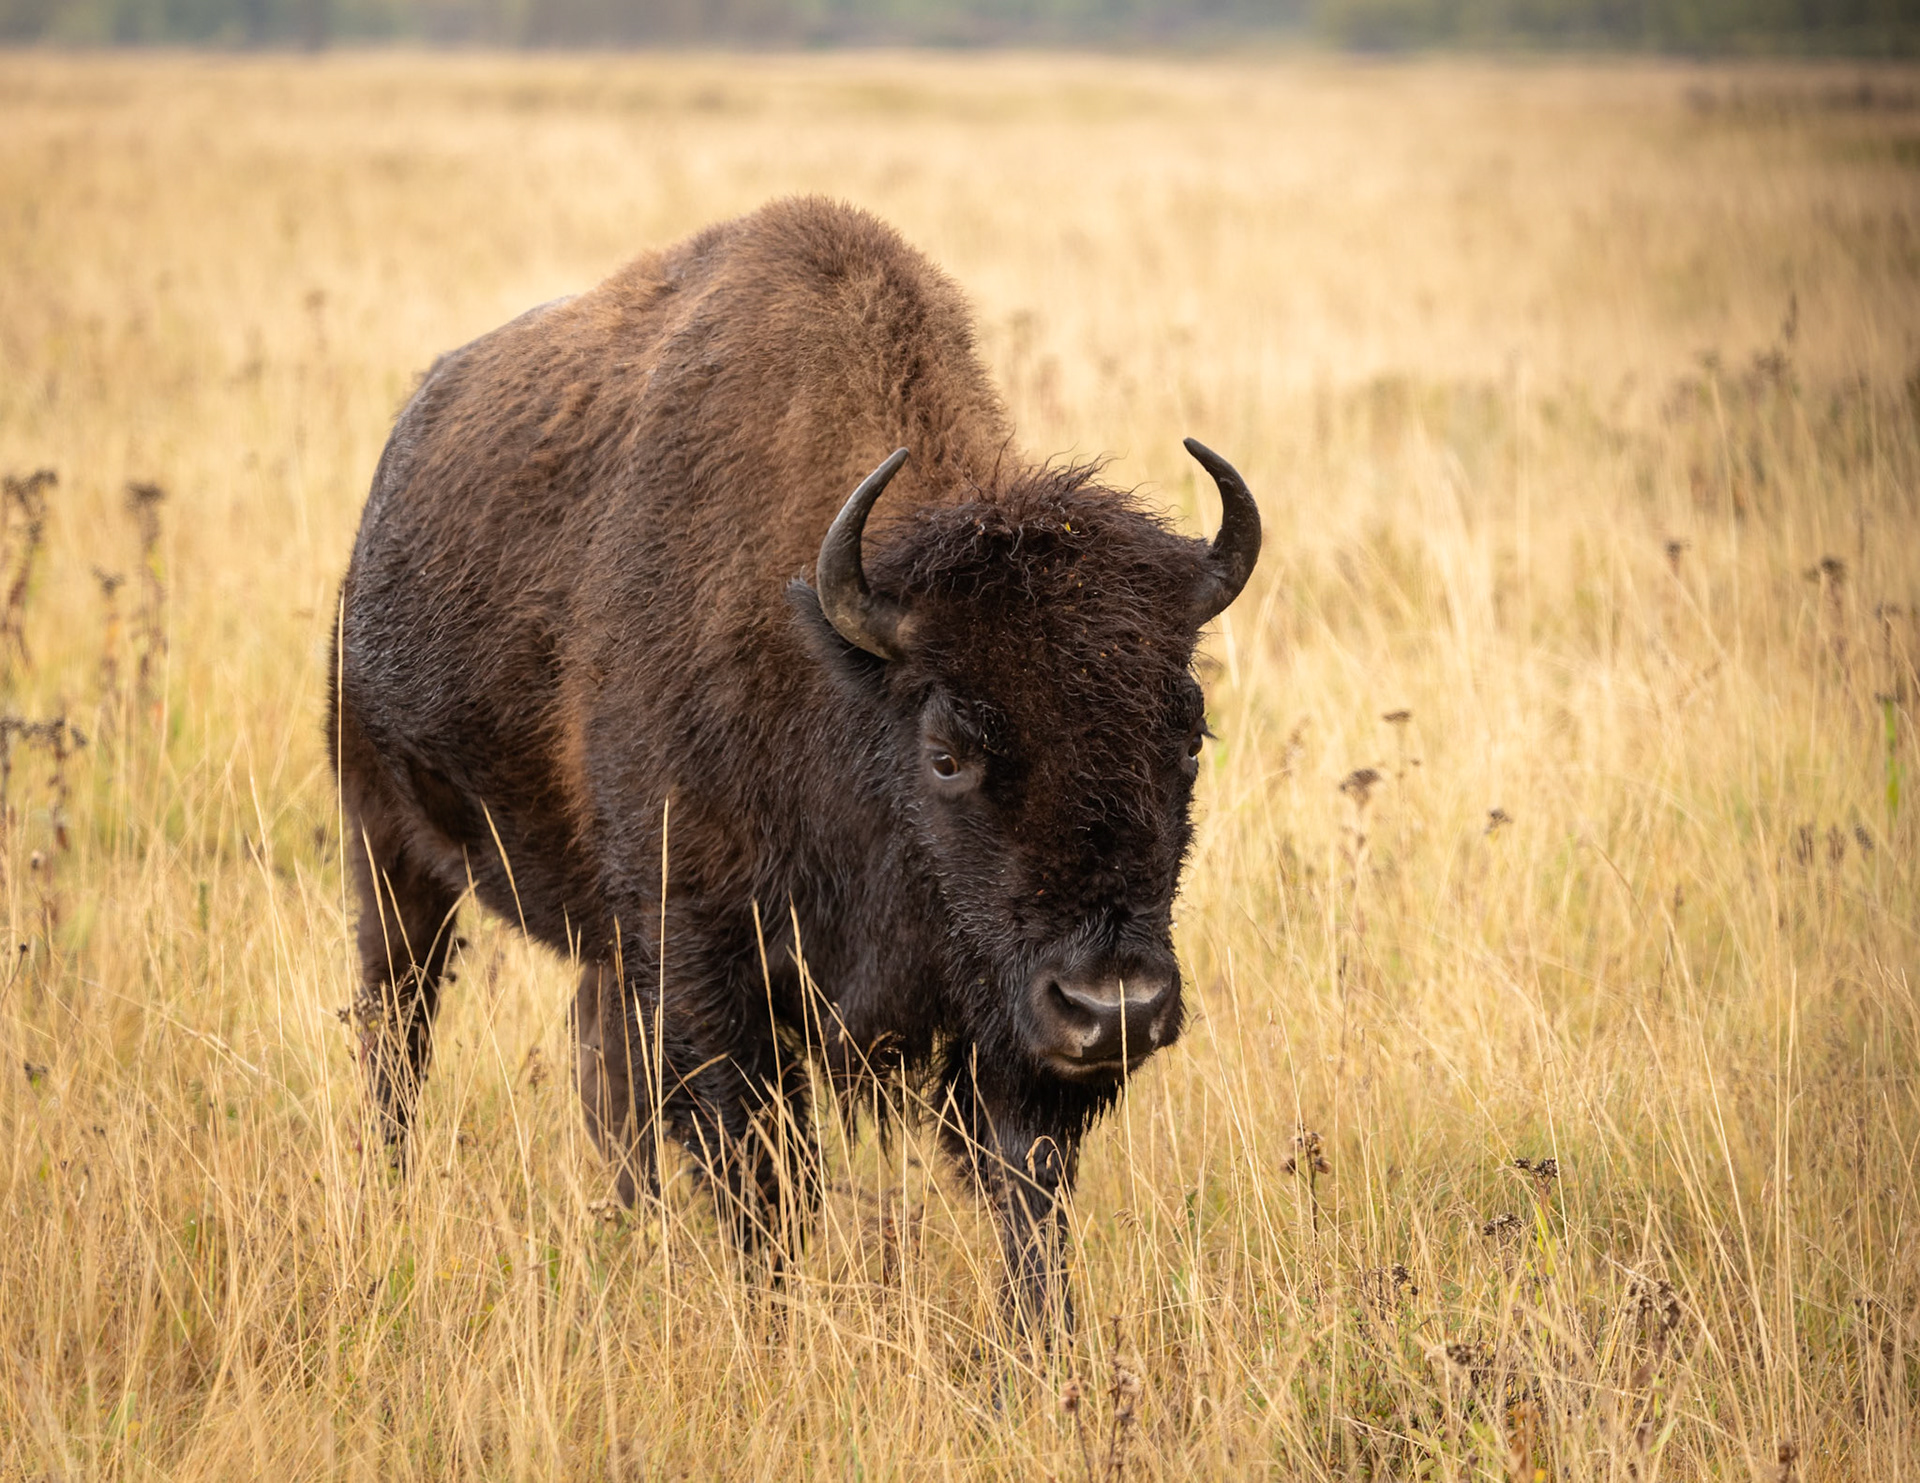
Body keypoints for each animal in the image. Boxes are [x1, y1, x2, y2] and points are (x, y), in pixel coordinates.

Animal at [330, 197, 1260, 1325]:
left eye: (1188, 733)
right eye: (946, 753)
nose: (1112, 1007)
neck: (837, 673)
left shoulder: (1000, 1026)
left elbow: (1026, 1190)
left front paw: (1042, 1344)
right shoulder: (711, 972)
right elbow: (765, 1187)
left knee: (599, 1068)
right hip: (387, 845)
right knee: (399, 1029)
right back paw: (395, 1189)